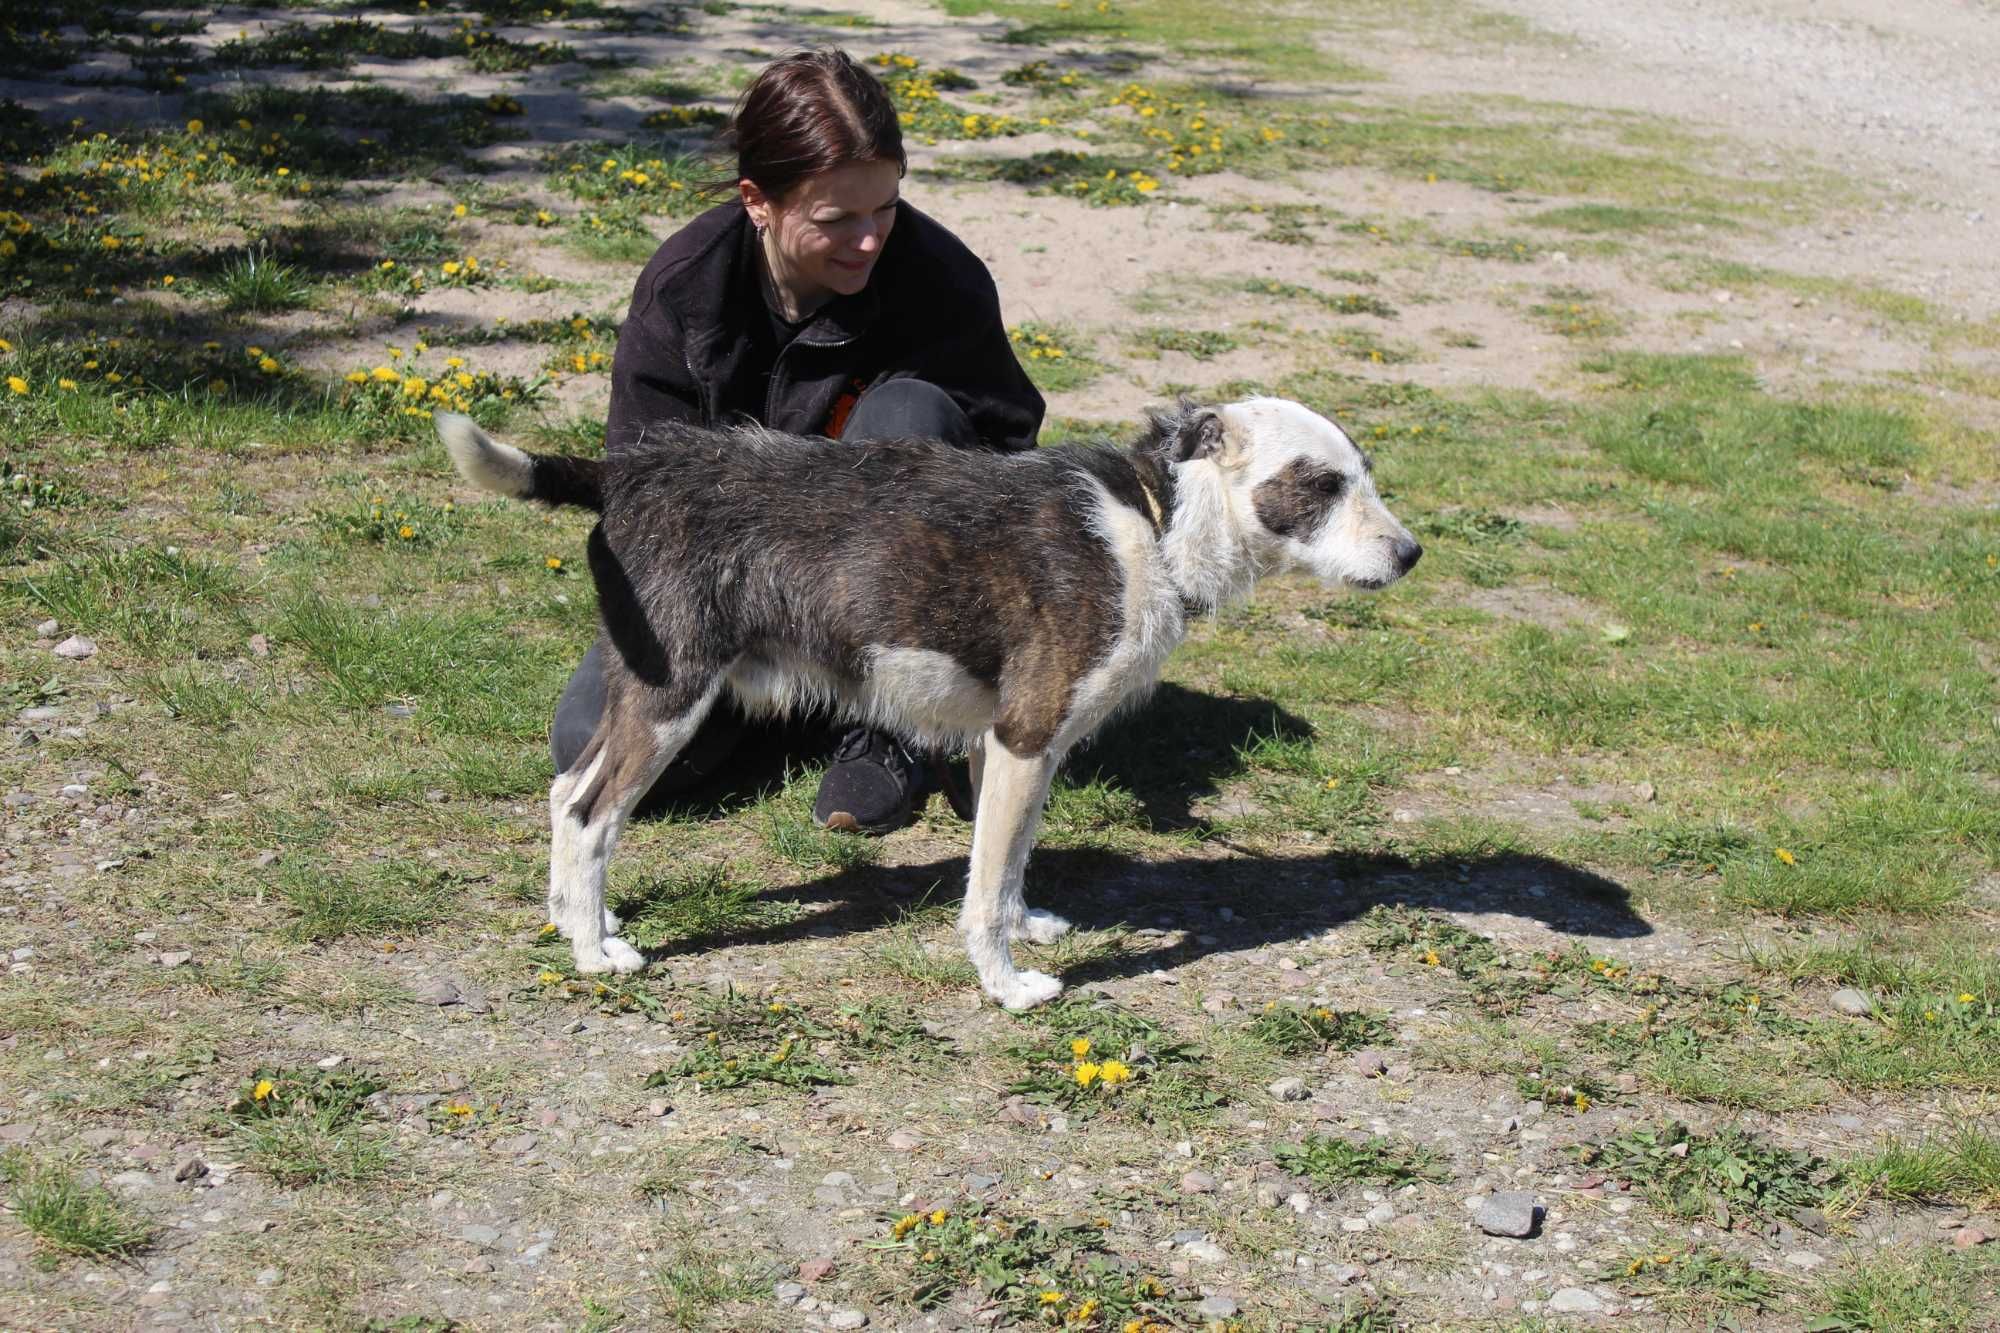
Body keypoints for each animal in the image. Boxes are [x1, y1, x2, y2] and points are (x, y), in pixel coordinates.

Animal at [434, 396, 1424, 1008]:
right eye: (1321, 482)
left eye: (1366, 473)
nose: (1411, 553)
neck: (1151, 522)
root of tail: (626, 470)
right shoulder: (1026, 736)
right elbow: (982, 891)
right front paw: (1007, 985)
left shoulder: (1012, 748)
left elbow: (1009, 864)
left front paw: (1028, 928)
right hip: (674, 697)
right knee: (592, 812)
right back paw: (593, 953)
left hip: (644, 694)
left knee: (566, 794)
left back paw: (578, 916)